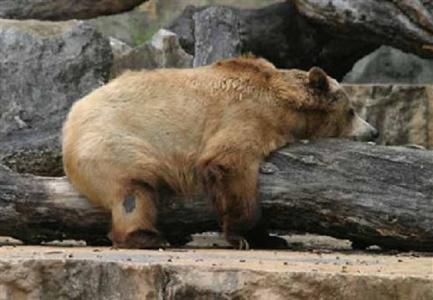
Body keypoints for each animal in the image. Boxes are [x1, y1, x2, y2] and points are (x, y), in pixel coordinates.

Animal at [62, 56, 376, 248]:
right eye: (351, 111)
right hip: (113, 142)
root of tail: (69, 122)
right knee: (133, 190)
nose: (373, 131)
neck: (284, 104)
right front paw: (244, 236)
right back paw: (147, 237)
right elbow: (230, 164)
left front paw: (271, 238)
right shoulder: (247, 114)